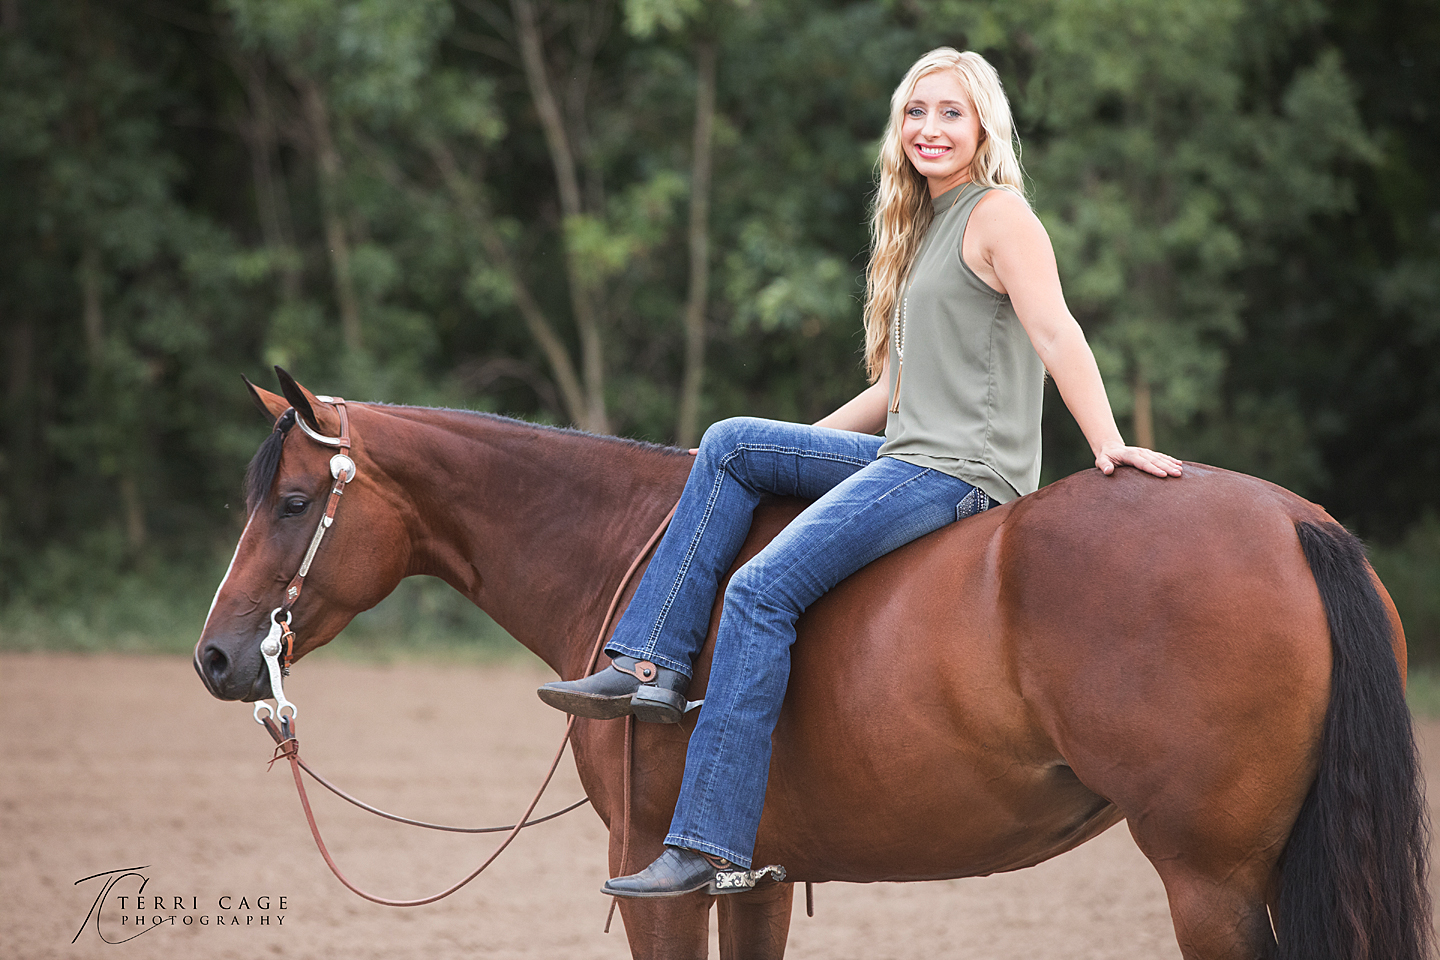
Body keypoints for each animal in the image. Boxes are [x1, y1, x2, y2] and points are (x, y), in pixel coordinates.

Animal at [195, 369, 1431, 960]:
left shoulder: (651, 873)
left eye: (294, 502)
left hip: (1211, 883)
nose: (216, 656)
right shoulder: (760, 879)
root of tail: (1291, 524)